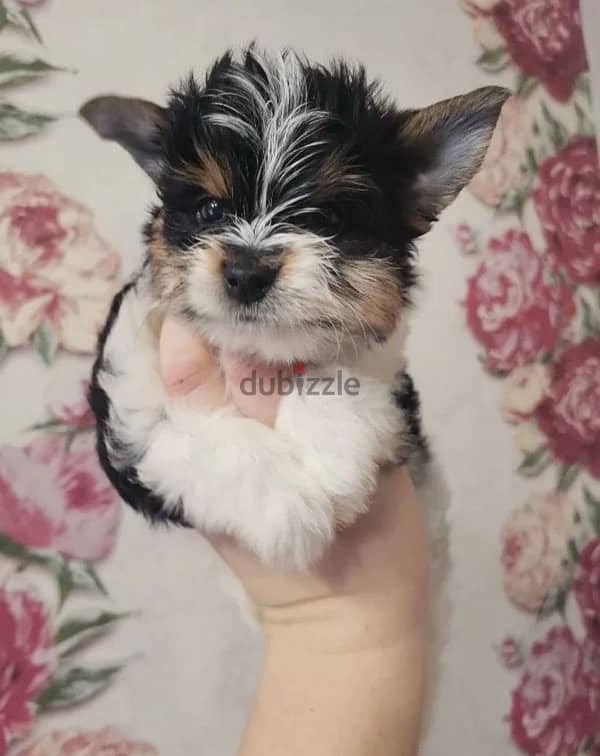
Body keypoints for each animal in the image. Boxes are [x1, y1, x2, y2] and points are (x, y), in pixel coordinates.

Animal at [82, 48, 508, 568]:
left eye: (328, 219)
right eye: (209, 210)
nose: (247, 271)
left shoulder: (392, 382)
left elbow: (335, 374)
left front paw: (332, 455)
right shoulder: (125, 413)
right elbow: (179, 439)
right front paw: (285, 505)